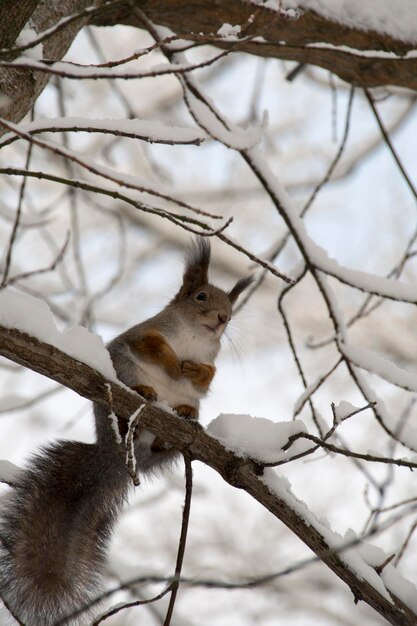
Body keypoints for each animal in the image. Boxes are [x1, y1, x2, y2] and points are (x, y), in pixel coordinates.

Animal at [0, 238, 250, 624]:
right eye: (202, 297)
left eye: (231, 308)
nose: (223, 319)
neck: (195, 337)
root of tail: (113, 454)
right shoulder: (141, 335)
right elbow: (150, 344)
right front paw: (172, 363)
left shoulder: (209, 364)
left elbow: (207, 378)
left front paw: (193, 371)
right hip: (123, 375)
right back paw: (142, 396)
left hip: (179, 416)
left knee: (176, 425)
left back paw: (181, 421)